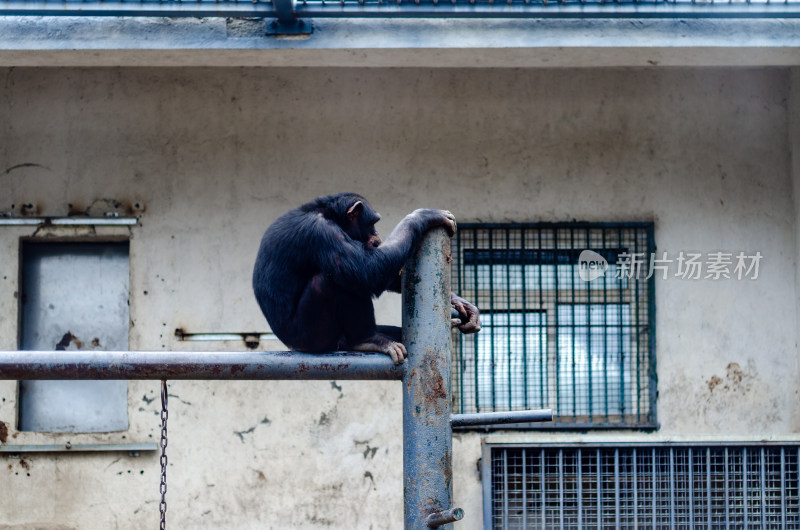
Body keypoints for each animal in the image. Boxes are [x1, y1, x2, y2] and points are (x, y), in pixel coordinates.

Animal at [253, 193, 478, 364]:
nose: (377, 234)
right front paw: (422, 216)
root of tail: (291, 346)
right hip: (313, 338)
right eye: (373, 222)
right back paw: (369, 339)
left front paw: (461, 302)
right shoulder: (321, 231)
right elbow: (366, 270)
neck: (329, 215)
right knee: (334, 282)